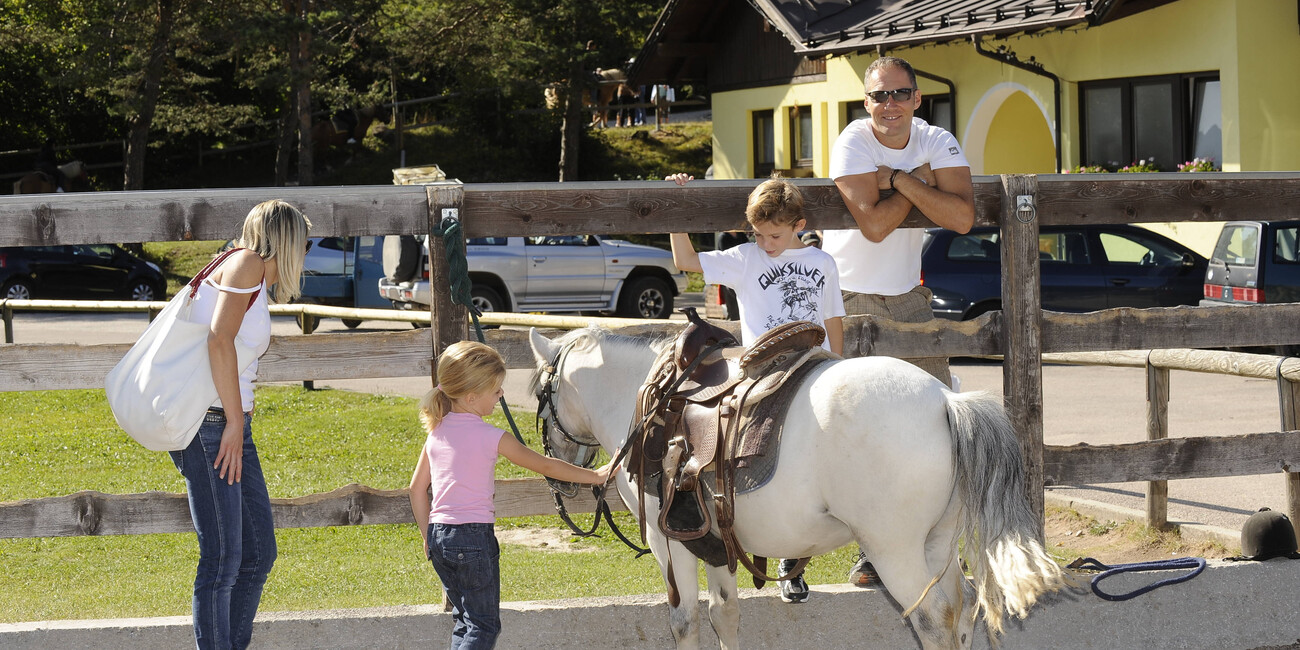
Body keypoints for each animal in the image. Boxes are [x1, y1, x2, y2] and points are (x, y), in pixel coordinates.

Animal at [522, 330, 1071, 650]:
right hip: (937, 544)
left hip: (894, 550)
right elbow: (725, 615)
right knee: (961, 612)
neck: (648, 398)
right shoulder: (715, 541)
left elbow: (685, 621)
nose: (558, 475)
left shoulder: (668, 540)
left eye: (541, 396)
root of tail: (945, 400)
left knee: (932, 619)